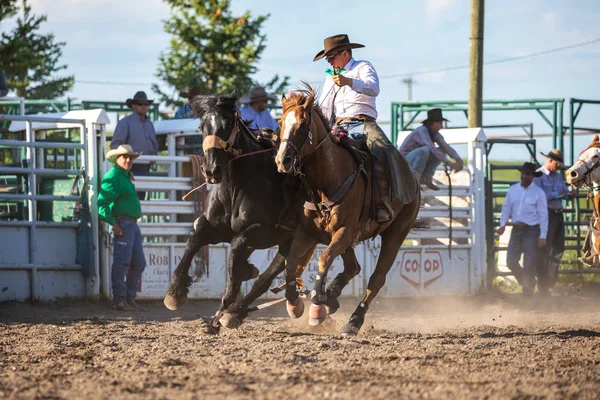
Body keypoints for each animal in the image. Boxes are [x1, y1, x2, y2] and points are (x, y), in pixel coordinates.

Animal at [166, 94, 312, 332]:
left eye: (226, 125)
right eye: (202, 126)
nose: (211, 170)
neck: (236, 186)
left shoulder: (266, 232)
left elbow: (236, 246)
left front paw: (229, 298)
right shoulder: (215, 226)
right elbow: (196, 235)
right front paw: (175, 292)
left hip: (291, 240)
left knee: (267, 276)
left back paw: (232, 311)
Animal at [274, 86, 420, 334]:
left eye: (303, 125)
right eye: (281, 123)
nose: (282, 160)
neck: (326, 181)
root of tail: (414, 179)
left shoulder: (344, 230)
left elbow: (323, 260)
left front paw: (316, 307)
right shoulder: (308, 231)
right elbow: (291, 262)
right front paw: (295, 304)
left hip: (396, 233)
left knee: (376, 280)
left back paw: (353, 321)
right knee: (353, 267)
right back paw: (331, 295)